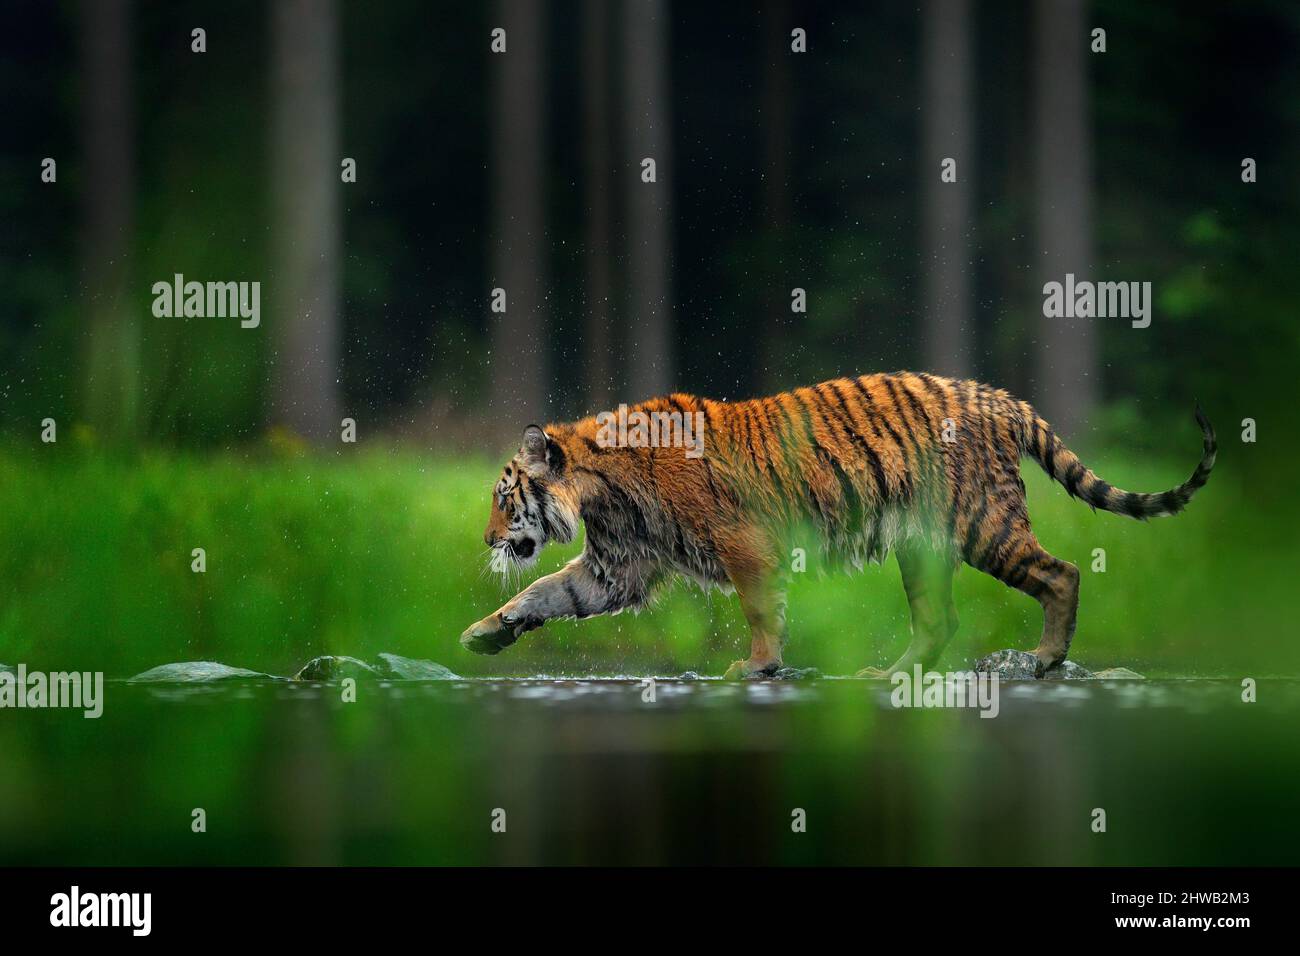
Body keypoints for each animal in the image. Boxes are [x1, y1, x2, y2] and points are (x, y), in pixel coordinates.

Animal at [460, 374, 1216, 681]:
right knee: (938, 621)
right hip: (921, 544)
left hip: (984, 523)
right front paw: (484, 633)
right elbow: (545, 593)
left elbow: (761, 612)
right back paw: (888, 676)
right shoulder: (616, 569)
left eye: (503, 497)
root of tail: (1001, 398)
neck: (600, 489)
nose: (490, 541)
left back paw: (1046, 658)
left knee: (1063, 572)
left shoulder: (745, 545)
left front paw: (757, 666)